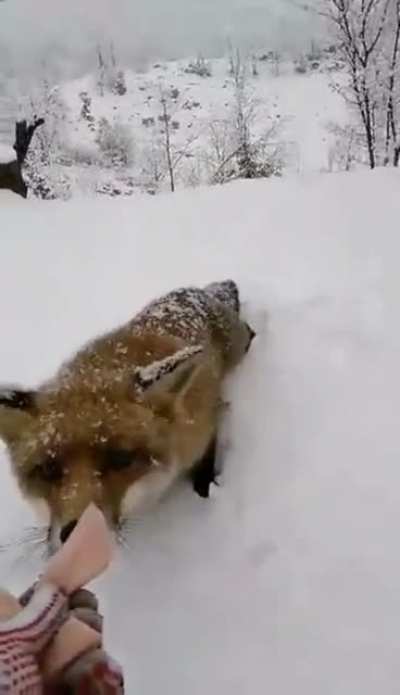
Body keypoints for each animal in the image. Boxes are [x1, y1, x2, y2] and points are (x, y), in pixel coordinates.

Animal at [0, 280, 255, 547]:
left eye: (121, 459)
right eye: (48, 469)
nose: (78, 538)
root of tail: (193, 290)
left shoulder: (204, 424)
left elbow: (206, 460)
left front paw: (205, 489)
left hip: (238, 345)